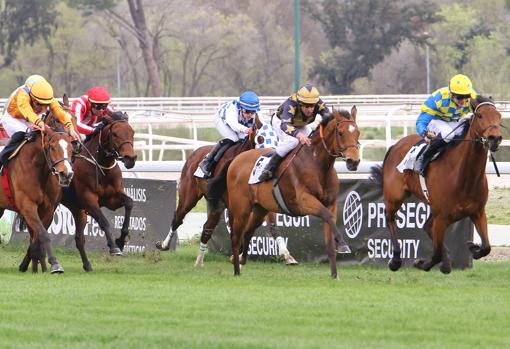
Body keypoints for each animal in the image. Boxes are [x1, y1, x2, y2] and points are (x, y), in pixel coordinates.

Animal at [2, 128, 75, 272]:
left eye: (71, 148)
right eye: (52, 147)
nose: (66, 174)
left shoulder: (48, 210)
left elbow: (37, 237)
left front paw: (37, 266)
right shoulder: (27, 206)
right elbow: (43, 235)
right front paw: (54, 263)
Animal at [60, 110, 137, 270]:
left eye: (132, 132)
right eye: (115, 134)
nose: (130, 159)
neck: (102, 167)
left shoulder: (112, 199)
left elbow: (129, 202)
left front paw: (121, 240)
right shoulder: (89, 200)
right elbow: (104, 221)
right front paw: (113, 247)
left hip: (77, 210)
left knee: (79, 238)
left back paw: (87, 265)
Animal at [155, 115, 298, 266]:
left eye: (277, 138)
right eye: (260, 138)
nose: (270, 156)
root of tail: (194, 154)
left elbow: (272, 225)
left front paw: (288, 256)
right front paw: (237, 255)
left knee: (207, 227)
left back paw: (199, 260)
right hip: (189, 196)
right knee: (178, 218)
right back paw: (164, 245)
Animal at [220, 106, 362, 278]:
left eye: (358, 132)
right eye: (340, 132)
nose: (354, 161)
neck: (317, 165)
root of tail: (235, 160)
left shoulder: (331, 204)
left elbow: (329, 235)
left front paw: (335, 275)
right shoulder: (304, 201)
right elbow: (327, 216)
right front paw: (342, 245)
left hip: (260, 209)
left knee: (247, 232)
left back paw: (241, 259)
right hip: (241, 209)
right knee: (235, 236)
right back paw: (236, 270)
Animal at [370, 96, 502, 274]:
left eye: (499, 116)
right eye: (480, 115)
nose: (495, 138)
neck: (464, 176)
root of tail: (395, 145)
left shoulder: (477, 212)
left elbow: (487, 247)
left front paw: (473, 247)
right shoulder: (442, 216)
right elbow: (436, 253)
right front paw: (422, 263)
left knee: (427, 226)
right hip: (394, 196)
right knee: (390, 218)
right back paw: (396, 259)